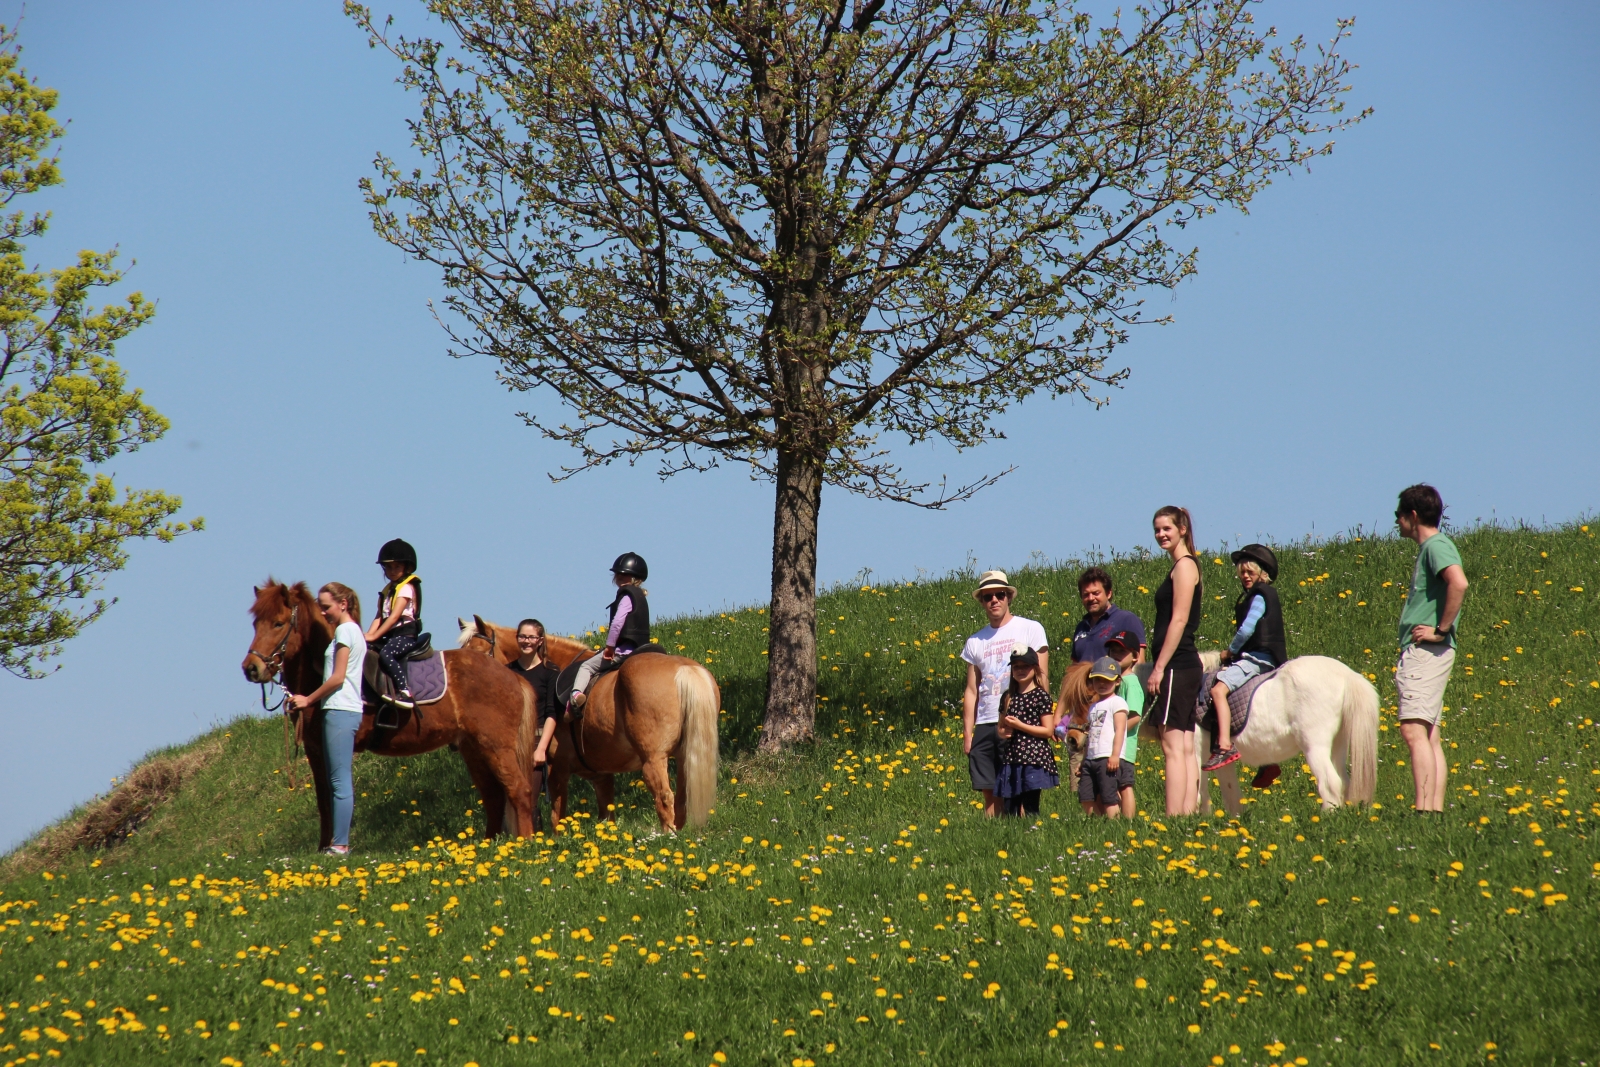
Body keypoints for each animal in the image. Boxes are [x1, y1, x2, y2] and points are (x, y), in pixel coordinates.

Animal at [241, 579, 544, 857]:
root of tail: (511, 675)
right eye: (255, 623)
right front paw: (322, 847)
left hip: (497, 747)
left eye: (278, 623)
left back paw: (525, 843)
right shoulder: (316, 749)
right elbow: (324, 799)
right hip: (475, 750)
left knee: (519, 790)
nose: (251, 668)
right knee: (494, 796)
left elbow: (335, 796)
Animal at [457, 617, 720, 831]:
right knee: (681, 799)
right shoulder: (601, 776)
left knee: (664, 797)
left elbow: (557, 817)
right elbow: (606, 816)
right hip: (685, 756)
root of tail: (684, 669)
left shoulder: (557, 770)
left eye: (479, 652)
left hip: (653, 760)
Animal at [1196, 652, 1382, 819]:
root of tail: (1347, 674)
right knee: (1343, 781)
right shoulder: (1218, 760)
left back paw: (1325, 818)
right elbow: (1229, 791)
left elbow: (1198, 791)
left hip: (1314, 747)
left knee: (1331, 783)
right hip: (1338, 744)